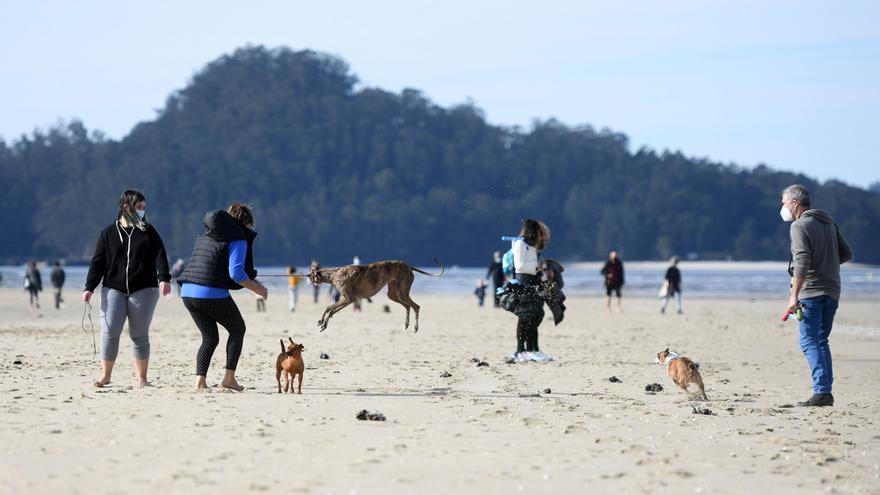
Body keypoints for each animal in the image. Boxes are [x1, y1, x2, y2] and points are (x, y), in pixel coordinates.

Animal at [310, 260, 446, 334]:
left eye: (311, 275)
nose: (309, 279)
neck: (334, 274)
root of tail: (409, 266)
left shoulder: (348, 298)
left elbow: (328, 308)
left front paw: (322, 322)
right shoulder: (349, 299)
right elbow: (332, 310)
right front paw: (324, 323)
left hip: (402, 291)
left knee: (416, 306)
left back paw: (415, 327)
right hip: (394, 294)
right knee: (408, 306)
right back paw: (406, 323)